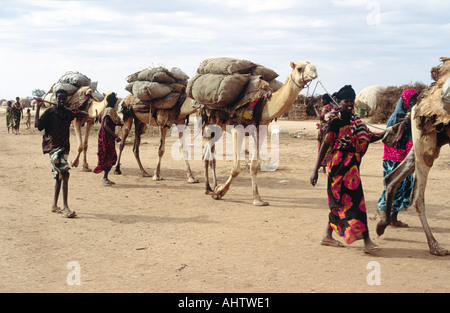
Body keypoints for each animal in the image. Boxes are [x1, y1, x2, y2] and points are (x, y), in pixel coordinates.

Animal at [199, 61, 318, 206]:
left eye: (311, 65)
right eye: (300, 68)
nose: (314, 71)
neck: (262, 105)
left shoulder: (260, 130)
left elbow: (254, 166)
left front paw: (258, 199)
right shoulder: (237, 129)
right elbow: (236, 168)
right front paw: (220, 192)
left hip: (216, 130)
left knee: (207, 156)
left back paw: (210, 187)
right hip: (207, 125)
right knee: (207, 156)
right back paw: (209, 188)